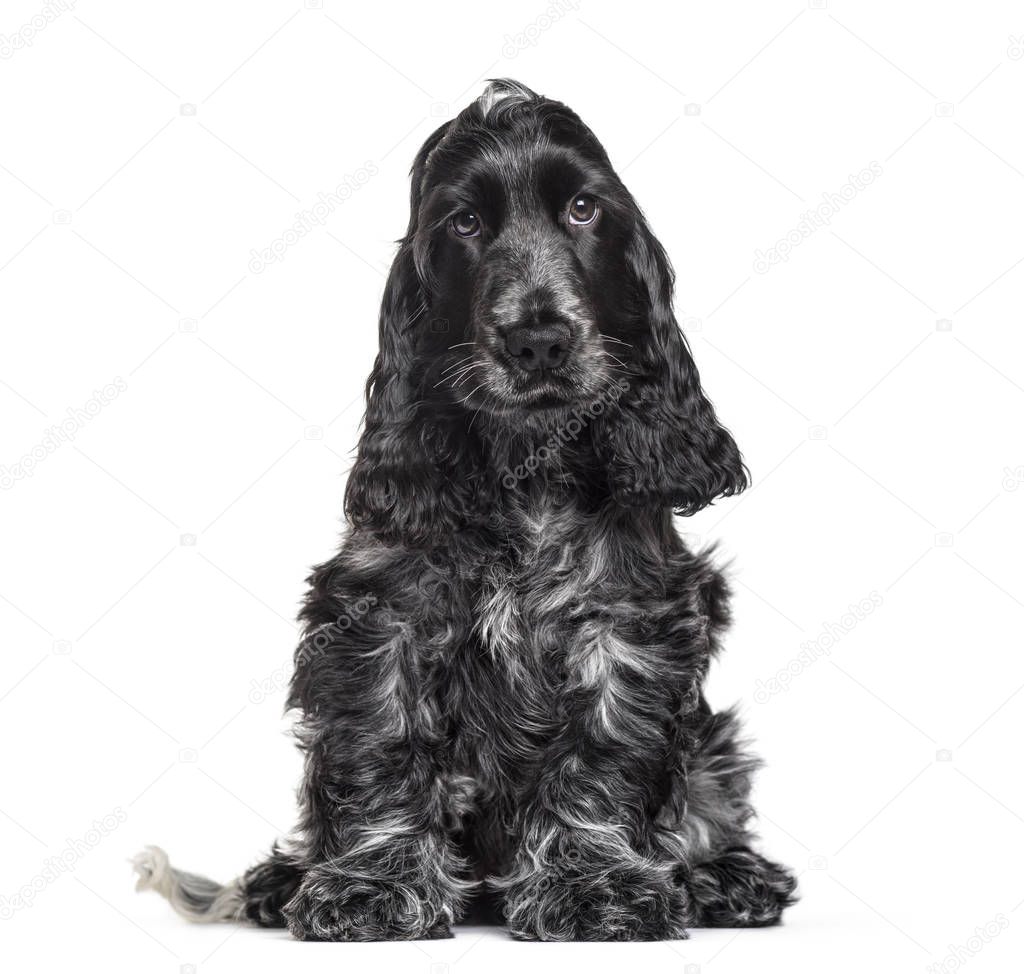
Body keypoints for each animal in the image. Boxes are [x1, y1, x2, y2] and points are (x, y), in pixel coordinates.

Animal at [134, 79, 790, 942]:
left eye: (584, 209)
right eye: (465, 224)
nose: (538, 341)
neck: (528, 468)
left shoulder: (629, 622)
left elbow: (599, 757)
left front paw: (595, 885)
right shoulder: (381, 618)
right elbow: (382, 751)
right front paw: (372, 885)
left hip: (711, 740)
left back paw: (727, 875)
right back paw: (283, 880)